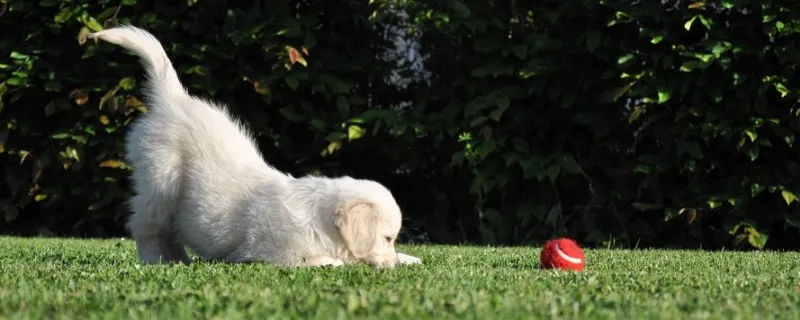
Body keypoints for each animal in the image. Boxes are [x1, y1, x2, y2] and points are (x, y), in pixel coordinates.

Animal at [88, 25, 424, 268]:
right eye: (387, 237)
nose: (390, 265)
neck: (321, 221)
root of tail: (174, 98)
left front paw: (407, 258)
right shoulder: (277, 253)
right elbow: (331, 262)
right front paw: (347, 262)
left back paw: (180, 261)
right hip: (160, 181)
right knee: (146, 226)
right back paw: (155, 261)